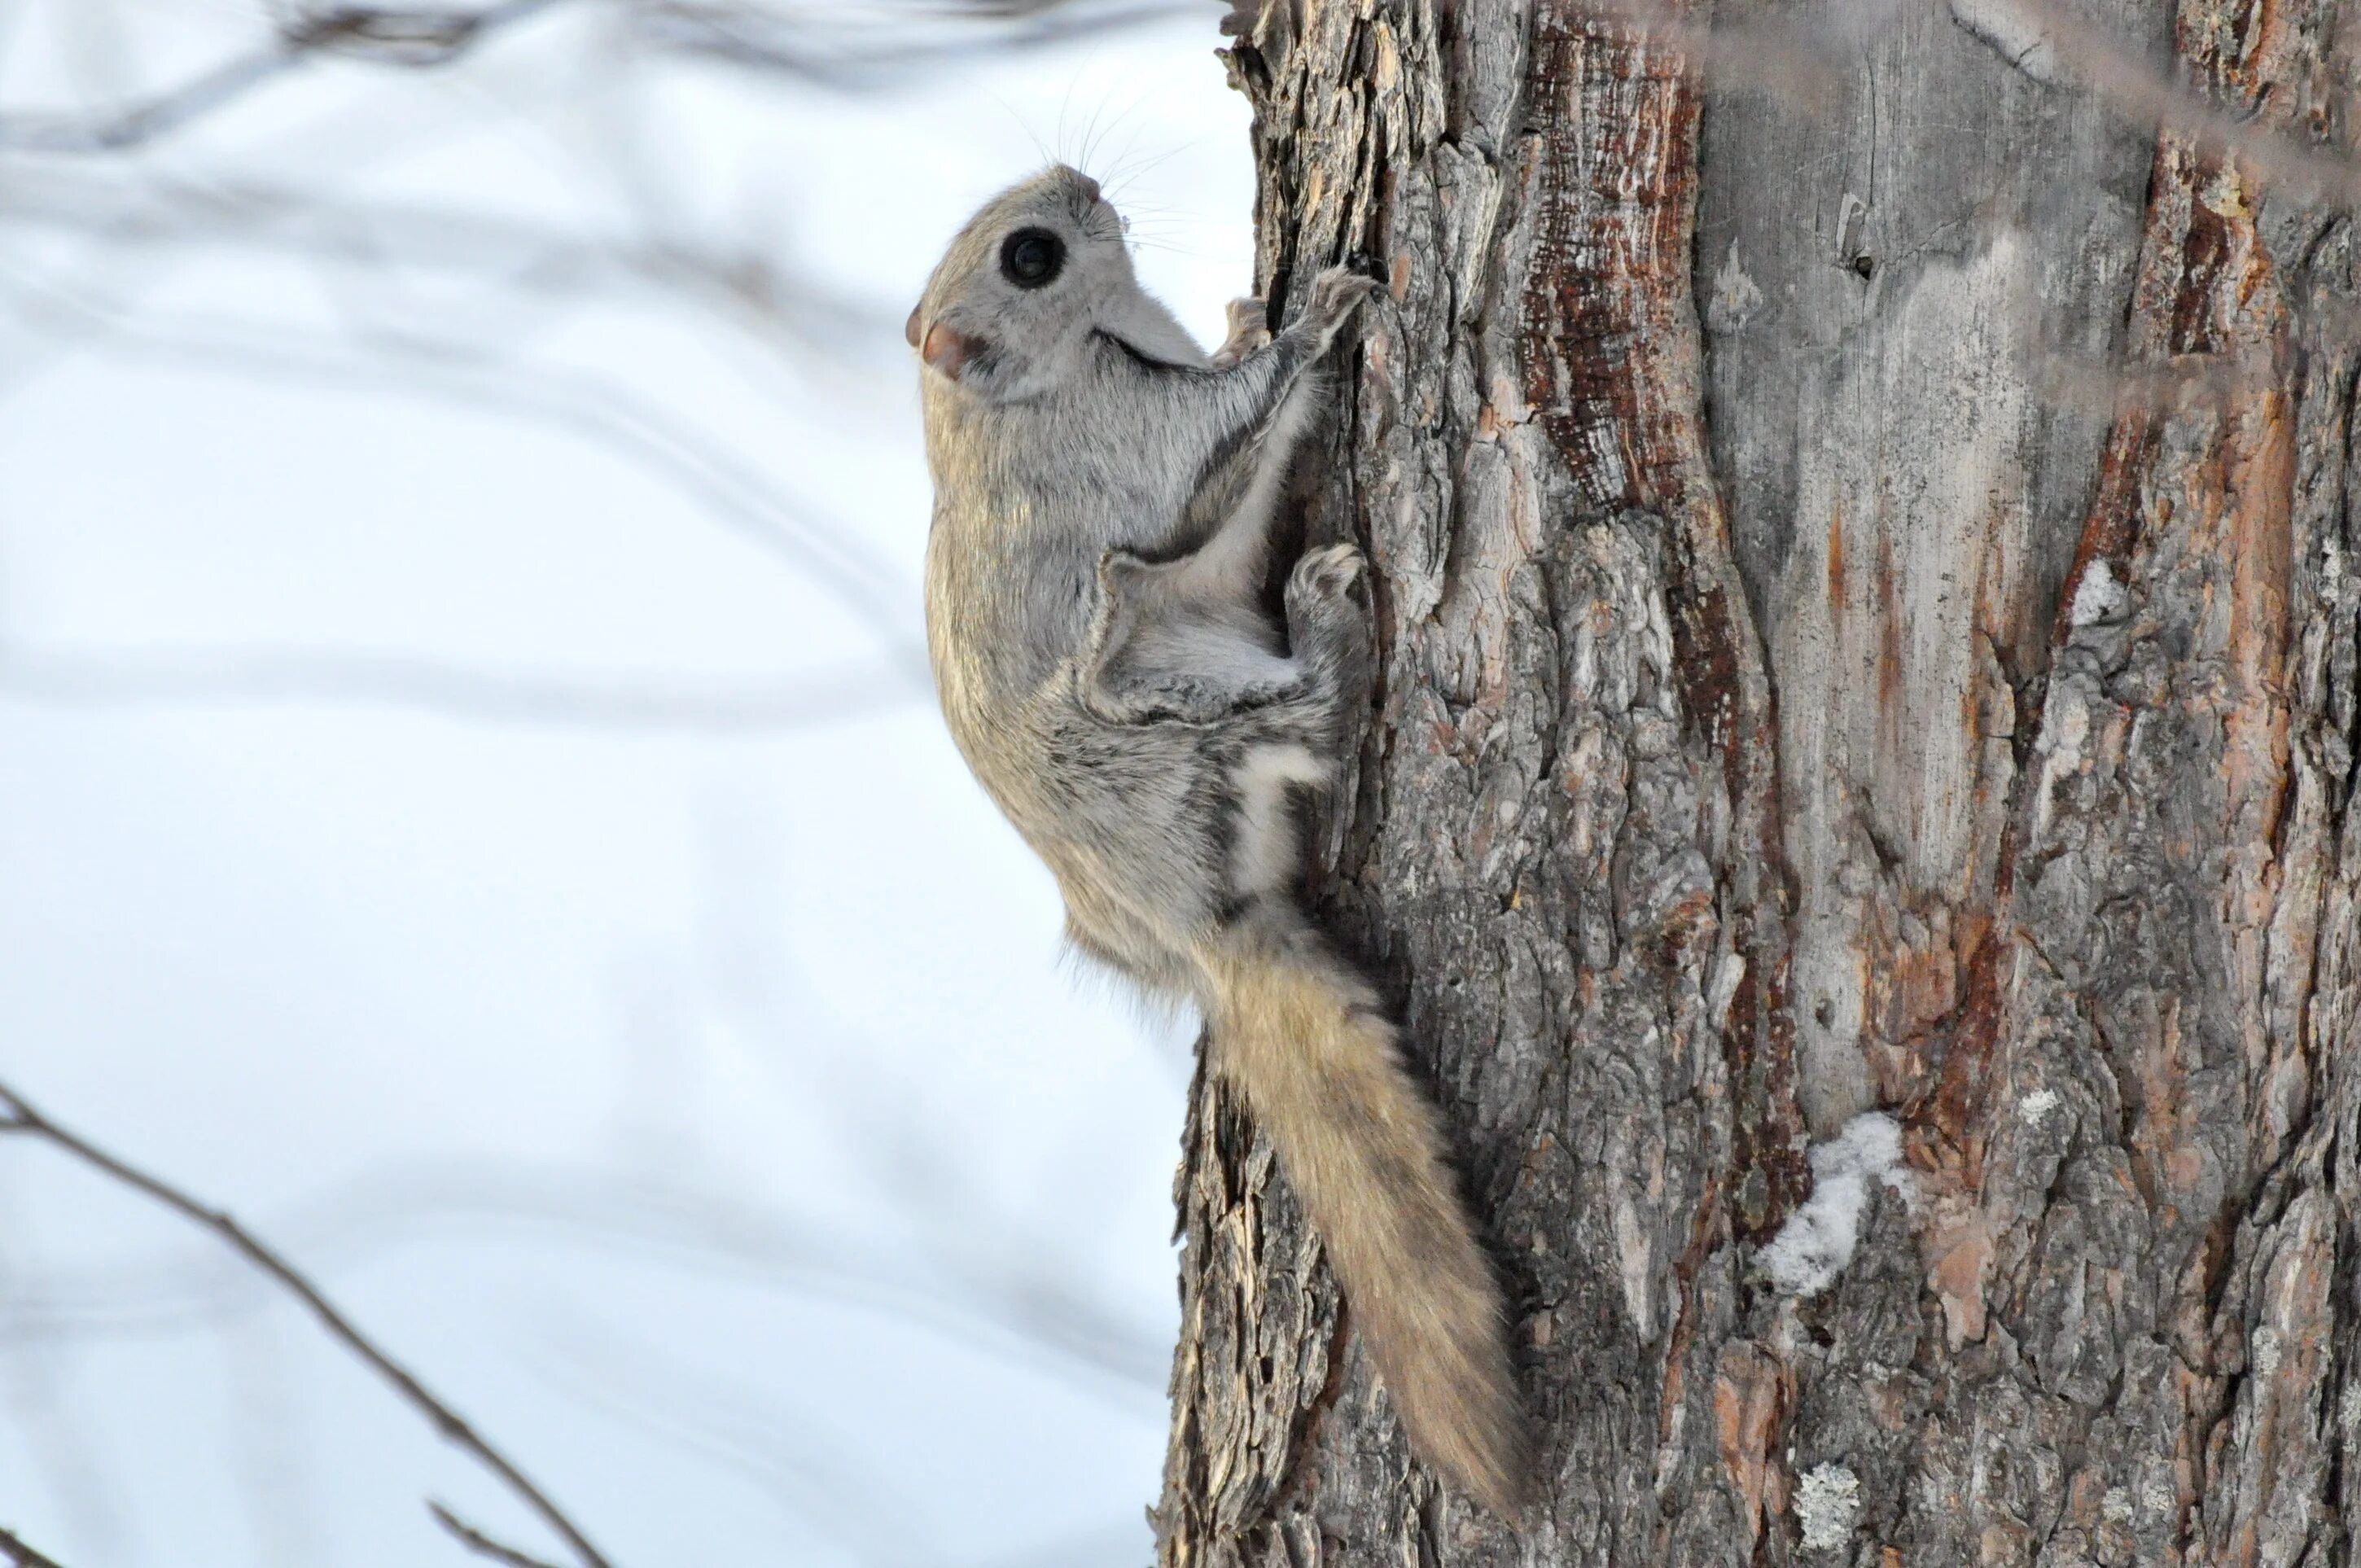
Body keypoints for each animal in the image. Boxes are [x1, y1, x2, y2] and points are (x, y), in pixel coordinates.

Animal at [901, 165, 1530, 1511]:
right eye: (1030, 255)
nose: (1082, 182)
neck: (1015, 393)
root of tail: (1197, 932)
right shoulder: (1134, 450)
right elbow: (1226, 450)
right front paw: (1315, 318)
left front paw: (1250, 318)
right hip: (1167, 711)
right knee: (1307, 718)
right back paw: (1325, 623)